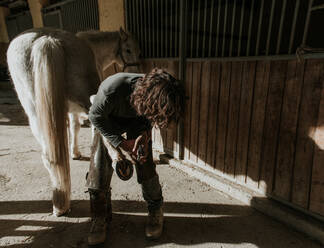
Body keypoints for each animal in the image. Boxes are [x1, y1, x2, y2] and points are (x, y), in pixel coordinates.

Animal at [6, 27, 140, 216]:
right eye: (128, 50)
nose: (136, 68)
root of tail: (47, 40)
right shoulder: (75, 108)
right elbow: (77, 126)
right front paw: (76, 152)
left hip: (34, 112)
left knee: (49, 156)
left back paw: (60, 203)